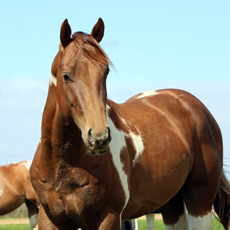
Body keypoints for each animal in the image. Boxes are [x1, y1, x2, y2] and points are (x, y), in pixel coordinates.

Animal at [30, 18, 230, 230]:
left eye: (105, 72)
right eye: (66, 75)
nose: (99, 137)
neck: (64, 163)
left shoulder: (109, 217)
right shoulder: (50, 219)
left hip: (199, 200)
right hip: (171, 204)